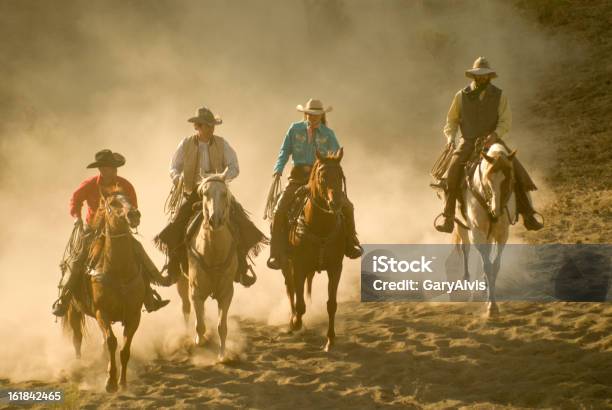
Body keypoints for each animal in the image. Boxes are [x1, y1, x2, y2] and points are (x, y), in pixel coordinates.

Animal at [63, 191, 145, 392]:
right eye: (113, 203)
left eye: (129, 198)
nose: (134, 215)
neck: (119, 270)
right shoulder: (102, 312)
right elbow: (111, 342)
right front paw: (110, 382)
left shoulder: (134, 315)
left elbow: (124, 349)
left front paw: (123, 382)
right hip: (73, 310)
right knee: (77, 338)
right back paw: (79, 367)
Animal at [186, 171, 237, 360]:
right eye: (205, 193)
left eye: (224, 193)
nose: (215, 220)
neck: (213, 253)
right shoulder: (195, 291)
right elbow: (199, 325)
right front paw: (199, 341)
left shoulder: (227, 293)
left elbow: (222, 326)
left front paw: (222, 355)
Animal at [284, 149, 346, 350]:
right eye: (323, 176)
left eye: (340, 175)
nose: (336, 203)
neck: (320, 227)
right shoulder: (298, 266)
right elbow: (300, 304)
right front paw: (295, 322)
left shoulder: (336, 268)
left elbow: (331, 304)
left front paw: (330, 340)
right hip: (286, 264)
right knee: (290, 289)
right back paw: (292, 320)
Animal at [454, 142, 516, 318]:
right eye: (488, 180)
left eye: (508, 179)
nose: (496, 210)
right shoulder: (477, 233)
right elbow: (487, 265)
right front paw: (491, 307)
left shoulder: (502, 235)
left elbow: (494, 265)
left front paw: (491, 299)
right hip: (462, 226)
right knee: (466, 249)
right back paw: (466, 278)